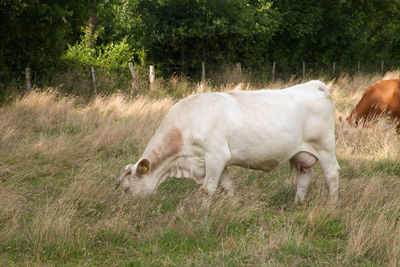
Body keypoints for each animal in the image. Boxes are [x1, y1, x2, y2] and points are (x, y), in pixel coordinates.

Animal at [117, 80, 340, 204]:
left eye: (126, 189)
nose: (124, 206)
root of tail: (311, 85)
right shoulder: (218, 161)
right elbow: (227, 186)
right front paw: (233, 205)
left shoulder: (216, 156)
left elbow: (208, 189)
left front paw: (201, 213)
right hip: (301, 154)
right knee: (304, 178)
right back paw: (296, 204)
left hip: (325, 147)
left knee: (331, 174)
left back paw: (332, 204)